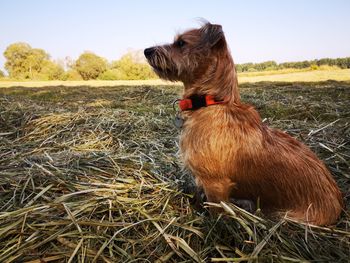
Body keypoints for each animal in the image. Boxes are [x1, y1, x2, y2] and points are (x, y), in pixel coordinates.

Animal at [144, 22, 344, 226]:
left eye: (181, 43)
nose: (146, 51)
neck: (211, 102)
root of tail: (338, 204)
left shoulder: (215, 184)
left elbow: (216, 212)